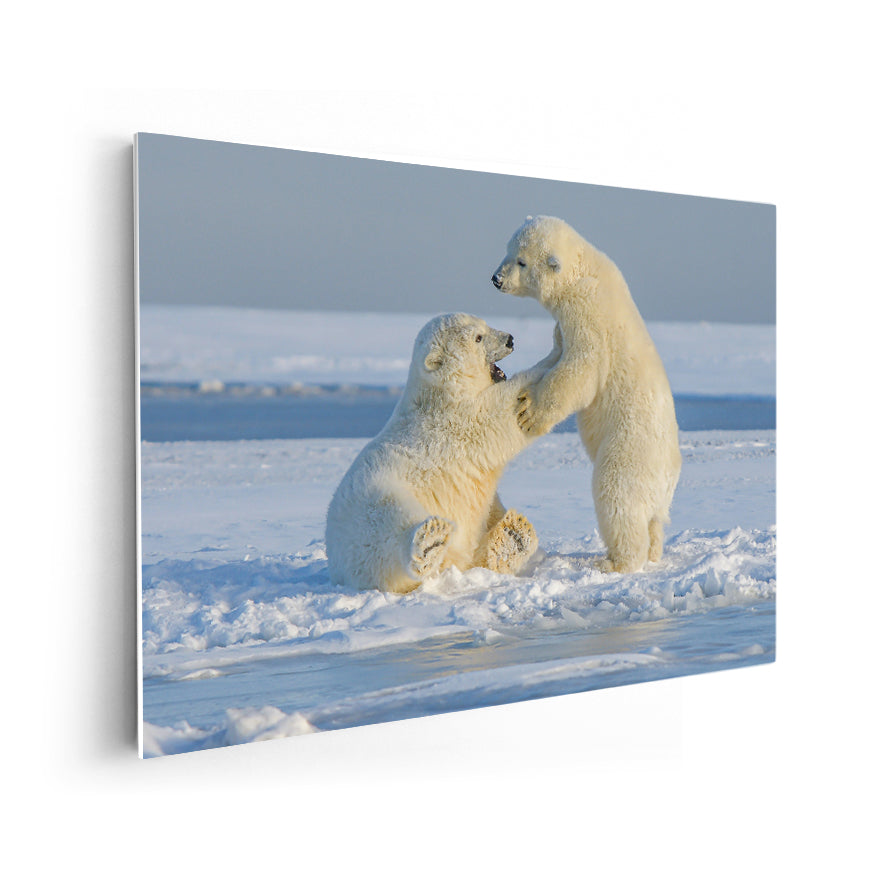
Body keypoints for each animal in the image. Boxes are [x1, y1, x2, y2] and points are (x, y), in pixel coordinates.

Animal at [326, 312, 540, 594]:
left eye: (485, 325)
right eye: (478, 337)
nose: (510, 339)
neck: (439, 393)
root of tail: (337, 565)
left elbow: (487, 509)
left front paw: (510, 535)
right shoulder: (456, 422)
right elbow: (497, 414)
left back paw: (514, 534)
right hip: (375, 500)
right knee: (390, 526)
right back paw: (430, 542)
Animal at [491, 215, 682, 573]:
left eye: (521, 261)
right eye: (507, 251)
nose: (496, 279)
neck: (586, 271)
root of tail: (668, 479)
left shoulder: (588, 316)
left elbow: (580, 370)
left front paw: (529, 412)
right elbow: (557, 352)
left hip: (629, 450)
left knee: (617, 498)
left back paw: (615, 562)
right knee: (653, 521)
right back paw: (651, 552)